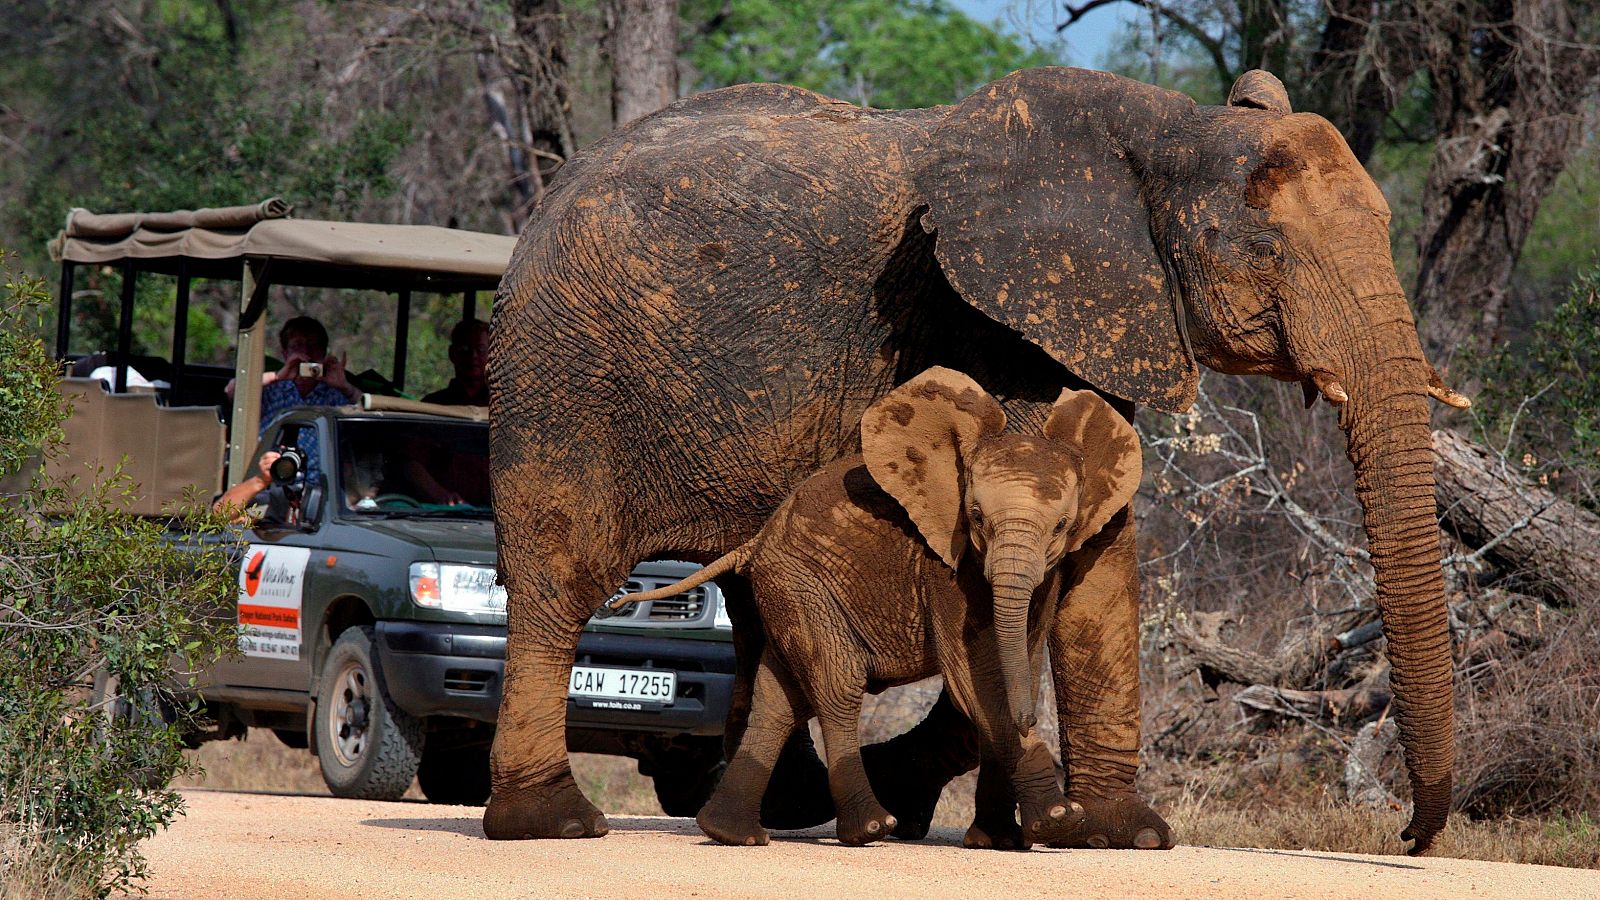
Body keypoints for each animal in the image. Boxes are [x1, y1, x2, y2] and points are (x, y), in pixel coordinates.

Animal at [617, 366, 1145, 845]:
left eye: (1062, 526)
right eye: (975, 517)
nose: (1033, 722)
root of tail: (757, 540)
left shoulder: (1047, 574)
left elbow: (1021, 665)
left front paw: (1003, 840)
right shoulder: (943, 568)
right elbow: (978, 678)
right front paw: (1058, 820)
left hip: (787, 590)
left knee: (780, 696)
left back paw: (731, 833)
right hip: (801, 583)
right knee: (837, 683)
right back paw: (870, 828)